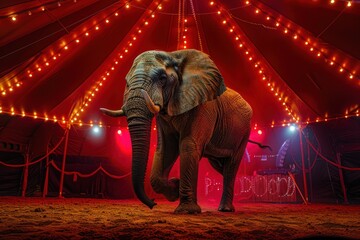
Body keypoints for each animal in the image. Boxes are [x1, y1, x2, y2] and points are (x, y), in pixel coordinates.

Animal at [100, 49, 253, 214]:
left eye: (162, 78)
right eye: (126, 82)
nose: (153, 203)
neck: (174, 56)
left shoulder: (202, 106)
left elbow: (188, 146)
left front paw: (187, 210)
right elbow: (166, 148)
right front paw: (175, 189)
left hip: (244, 132)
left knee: (231, 166)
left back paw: (225, 209)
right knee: (221, 166)